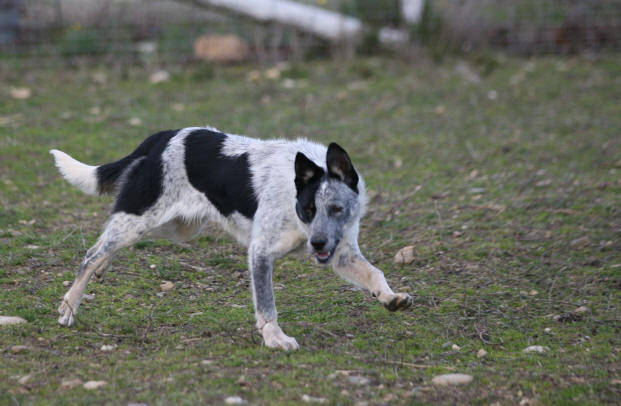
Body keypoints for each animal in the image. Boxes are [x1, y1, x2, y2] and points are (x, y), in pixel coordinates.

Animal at [49, 127, 412, 348]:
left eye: (336, 209)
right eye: (309, 209)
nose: (318, 245)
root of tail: (164, 137)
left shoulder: (342, 254)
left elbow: (375, 273)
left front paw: (390, 298)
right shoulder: (260, 252)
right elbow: (267, 304)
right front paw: (275, 339)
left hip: (174, 226)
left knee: (104, 243)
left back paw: (100, 270)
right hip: (143, 216)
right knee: (90, 254)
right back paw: (69, 306)